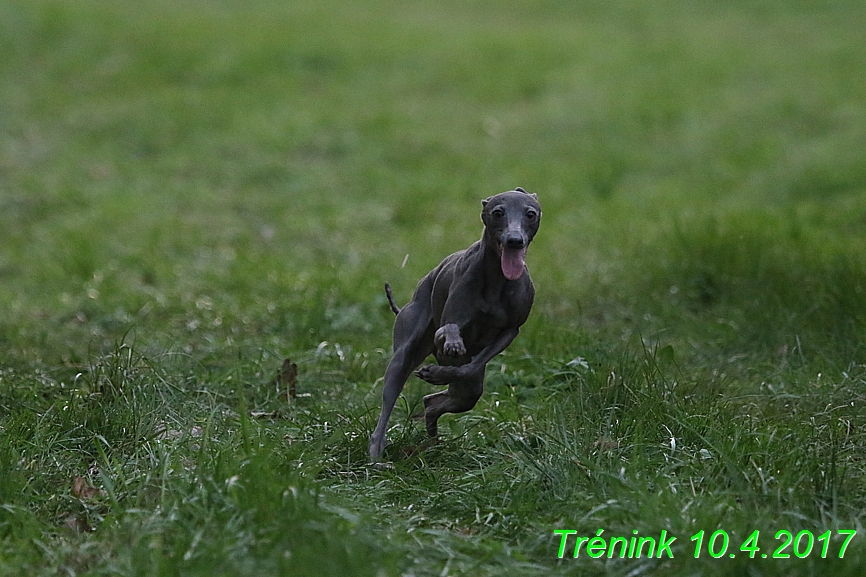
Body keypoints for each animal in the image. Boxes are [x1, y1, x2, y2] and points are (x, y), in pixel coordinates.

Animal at [366, 187, 540, 462]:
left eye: (530, 214)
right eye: (497, 213)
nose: (514, 240)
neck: (497, 279)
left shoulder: (510, 332)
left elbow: (469, 366)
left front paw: (438, 373)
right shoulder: (446, 324)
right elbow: (449, 330)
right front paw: (453, 345)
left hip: (469, 392)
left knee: (435, 400)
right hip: (403, 356)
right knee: (387, 407)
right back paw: (377, 456)